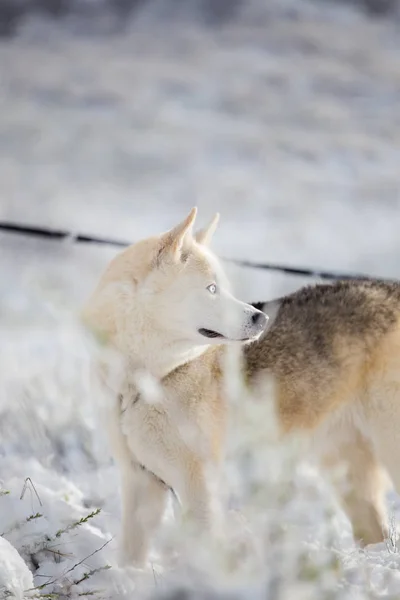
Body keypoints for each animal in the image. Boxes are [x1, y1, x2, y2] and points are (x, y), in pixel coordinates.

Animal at [83, 209, 398, 564]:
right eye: (211, 289)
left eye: (224, 287)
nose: (262, 318)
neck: (145, 381)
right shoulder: (140, 480)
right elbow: (131, 557)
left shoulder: (198, 484)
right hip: (344, 468)